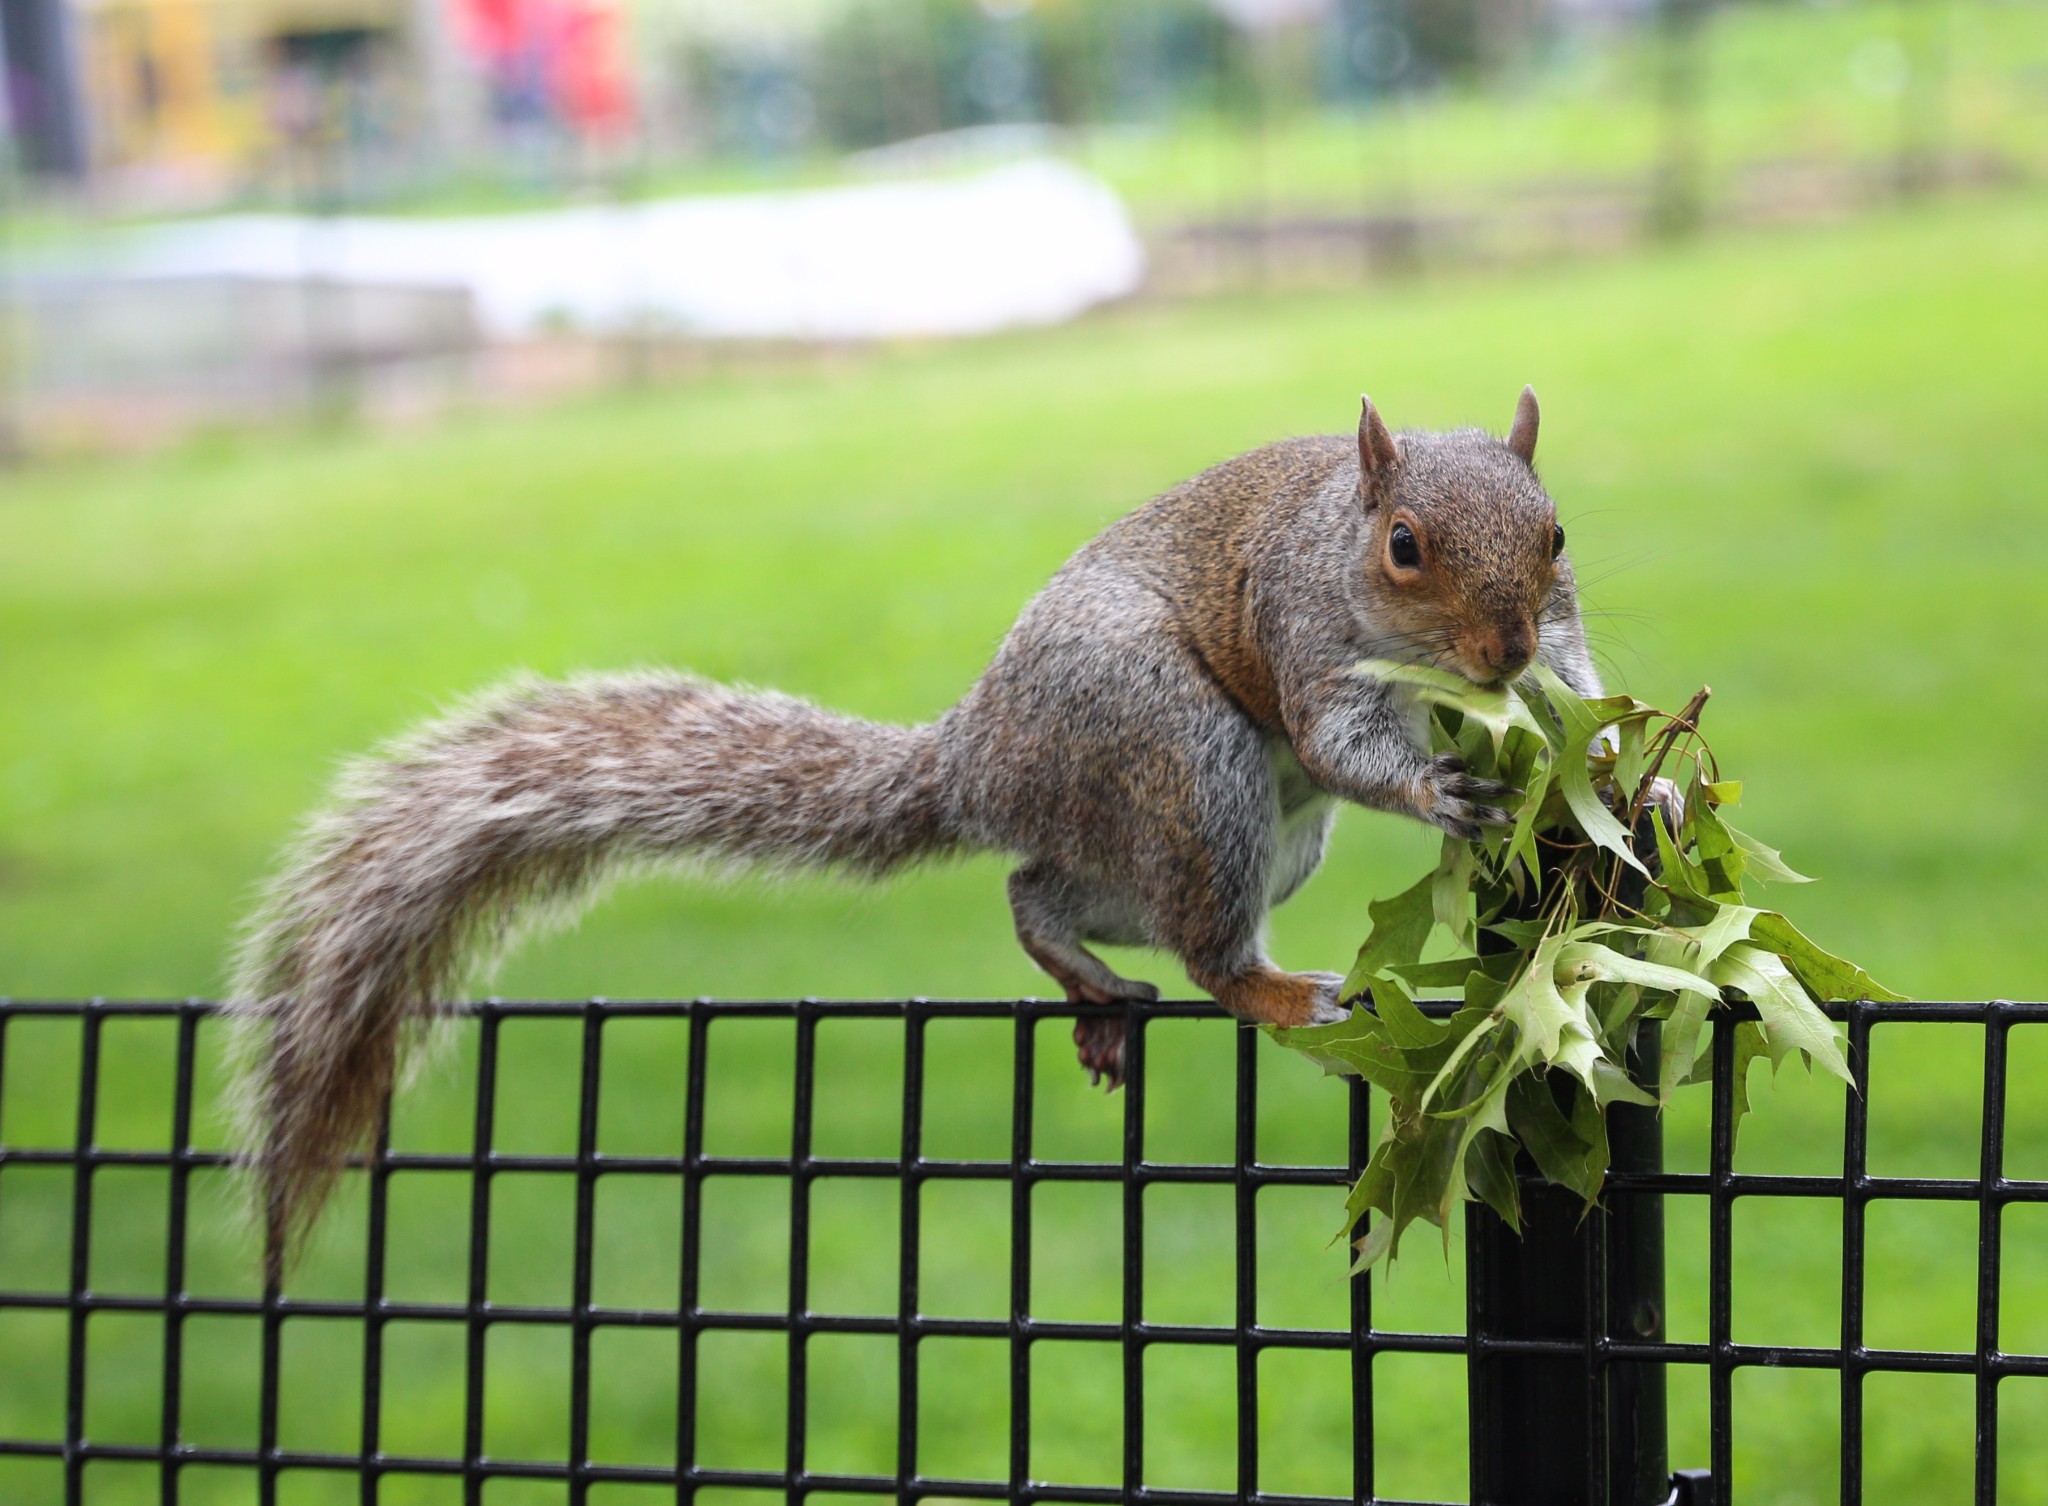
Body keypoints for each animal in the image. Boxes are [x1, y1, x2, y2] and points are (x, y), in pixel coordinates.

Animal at [224, 385, 1597, 1262]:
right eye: (1403, 545)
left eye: (1554, 534)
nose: (1498, 651)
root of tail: (977, 760)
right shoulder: (1304, 634)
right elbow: (1343, 743)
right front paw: (1440, 790)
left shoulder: (1554, 639)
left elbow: (1579, 691)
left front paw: (1619, 769)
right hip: (1186, 759)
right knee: (1195, 942)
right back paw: (1271, 992)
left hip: (1227, 835)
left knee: (1042, 888)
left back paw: (1087, 984)